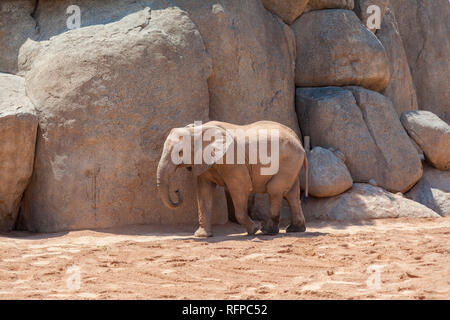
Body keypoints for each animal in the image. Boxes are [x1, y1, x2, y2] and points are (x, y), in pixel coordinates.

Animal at [156, 121, 308, 236]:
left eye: (180, 153)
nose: (176, 191)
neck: (198, 130)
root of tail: (298, 140)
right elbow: (204, 192)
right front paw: (202, 236)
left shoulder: (232, 159)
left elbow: (240, 188)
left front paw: (254, 230)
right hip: (292, 162)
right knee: (291, 193)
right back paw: (294, 230)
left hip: (289, 160)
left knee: (274, 190)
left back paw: (267, 232)